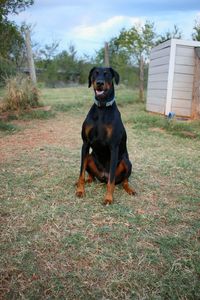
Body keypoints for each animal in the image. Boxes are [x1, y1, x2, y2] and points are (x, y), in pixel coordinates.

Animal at [76, 67, 135, 205]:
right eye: (95, 73)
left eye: (107, 74)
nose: (99, 83)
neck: (102, 108)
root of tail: (103, 176)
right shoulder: (85, 144)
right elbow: (81, 172)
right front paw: (80, 190)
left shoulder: (113, 147)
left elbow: (111, 180)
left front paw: (108, 198)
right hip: (90, 157)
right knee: (91, 175)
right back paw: (86, 181)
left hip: (126, 162)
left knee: (123, 180)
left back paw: (129, 189)